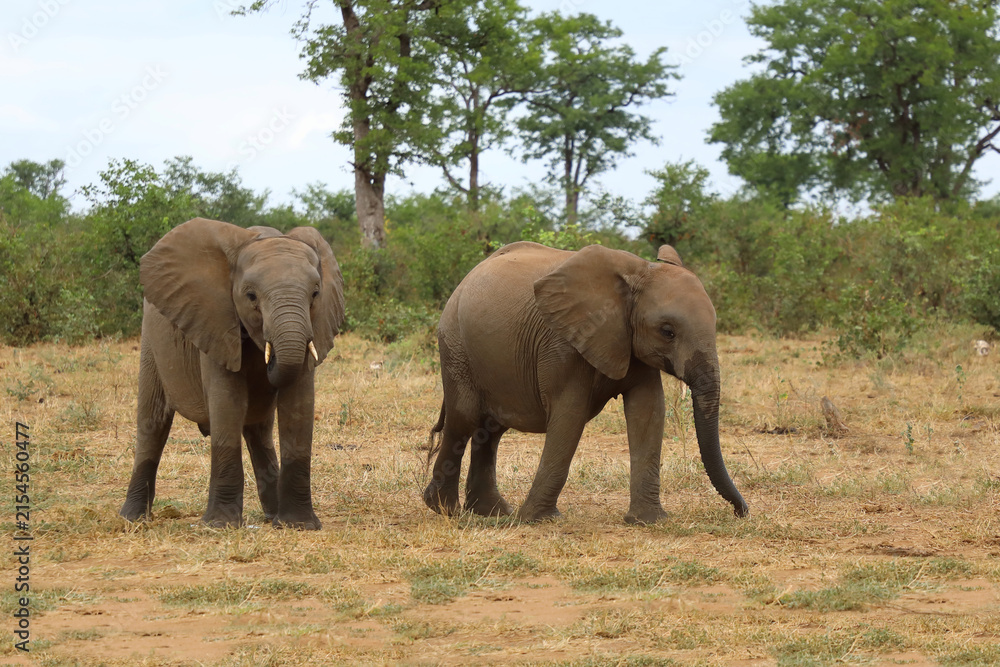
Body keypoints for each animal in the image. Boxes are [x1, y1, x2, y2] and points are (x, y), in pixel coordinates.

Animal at [119, 218, 344, 529]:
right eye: (250, 296)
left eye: (315, 294)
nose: (269, 360)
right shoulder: (214, 321)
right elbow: (228, 402)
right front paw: (220, 525)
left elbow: (298, 404)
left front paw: (298, 526)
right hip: (151, 343)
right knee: (152, 424)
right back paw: (133, 518)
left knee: (259, 432)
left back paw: (273, 516)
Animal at [422, 241, 748, 524]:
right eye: (667, 332)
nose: (740, 512)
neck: (638, 272)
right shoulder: (563, 342)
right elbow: (570, 414)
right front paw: (537, 520)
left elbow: (649, 411)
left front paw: (648, 521)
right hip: (455, 344)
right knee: (464, 419)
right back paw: (444, 509)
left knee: (490, 430)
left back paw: (491, 512)